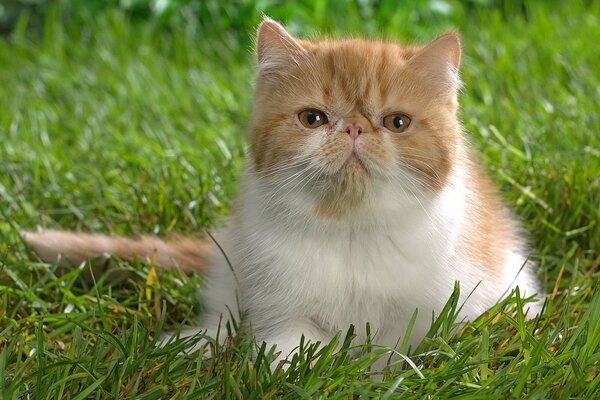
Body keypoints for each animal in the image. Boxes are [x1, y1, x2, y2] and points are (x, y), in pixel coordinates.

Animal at [23, 17, 540, 368]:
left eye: (396, 122)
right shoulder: (279, 302)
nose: (354, 128)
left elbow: (406, 351)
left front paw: (376, 372)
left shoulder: (459, 298)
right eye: (313, 118)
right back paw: (191, 346)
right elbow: (286, 347)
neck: (350, 231)